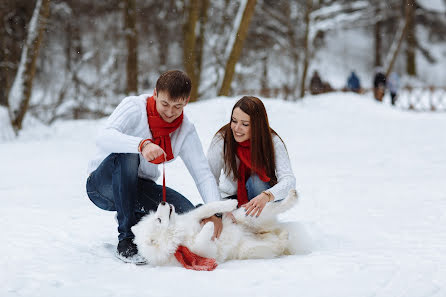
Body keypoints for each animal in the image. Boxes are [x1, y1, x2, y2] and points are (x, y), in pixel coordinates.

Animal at [131, 188, 302, 264]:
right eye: (159, 220)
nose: (163, 202)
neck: (180, 231)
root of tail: (267, 231)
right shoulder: (204, 252)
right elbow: (201, 242)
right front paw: (209, 228)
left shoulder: (195, 217)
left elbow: (209, 207)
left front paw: (229, 203)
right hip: (252, 248)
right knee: (277, 244)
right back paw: (284, 236)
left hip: (249, 215)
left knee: (277, 208)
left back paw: (292, 196)